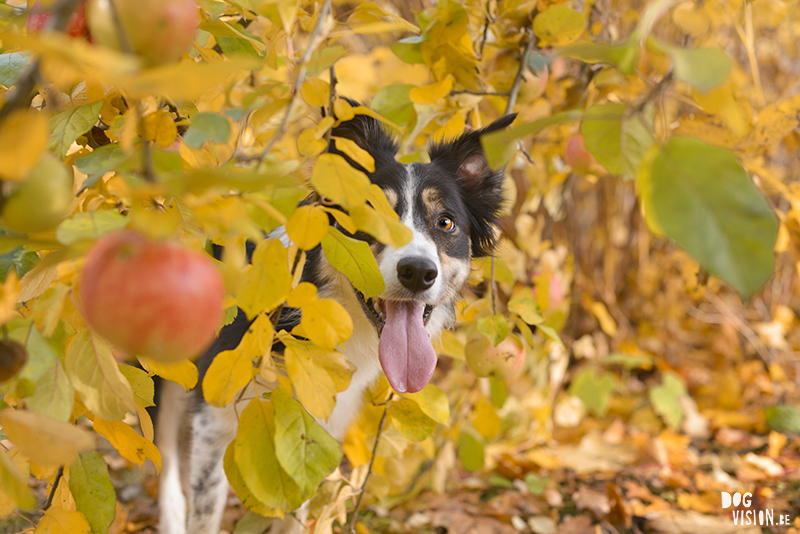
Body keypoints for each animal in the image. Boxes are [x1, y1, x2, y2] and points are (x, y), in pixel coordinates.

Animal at [157, 105, 520, 534]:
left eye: (445, 222)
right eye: (369, 213)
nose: (417, 272)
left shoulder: (312, 429)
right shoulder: (214, 416)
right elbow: (204, 508)